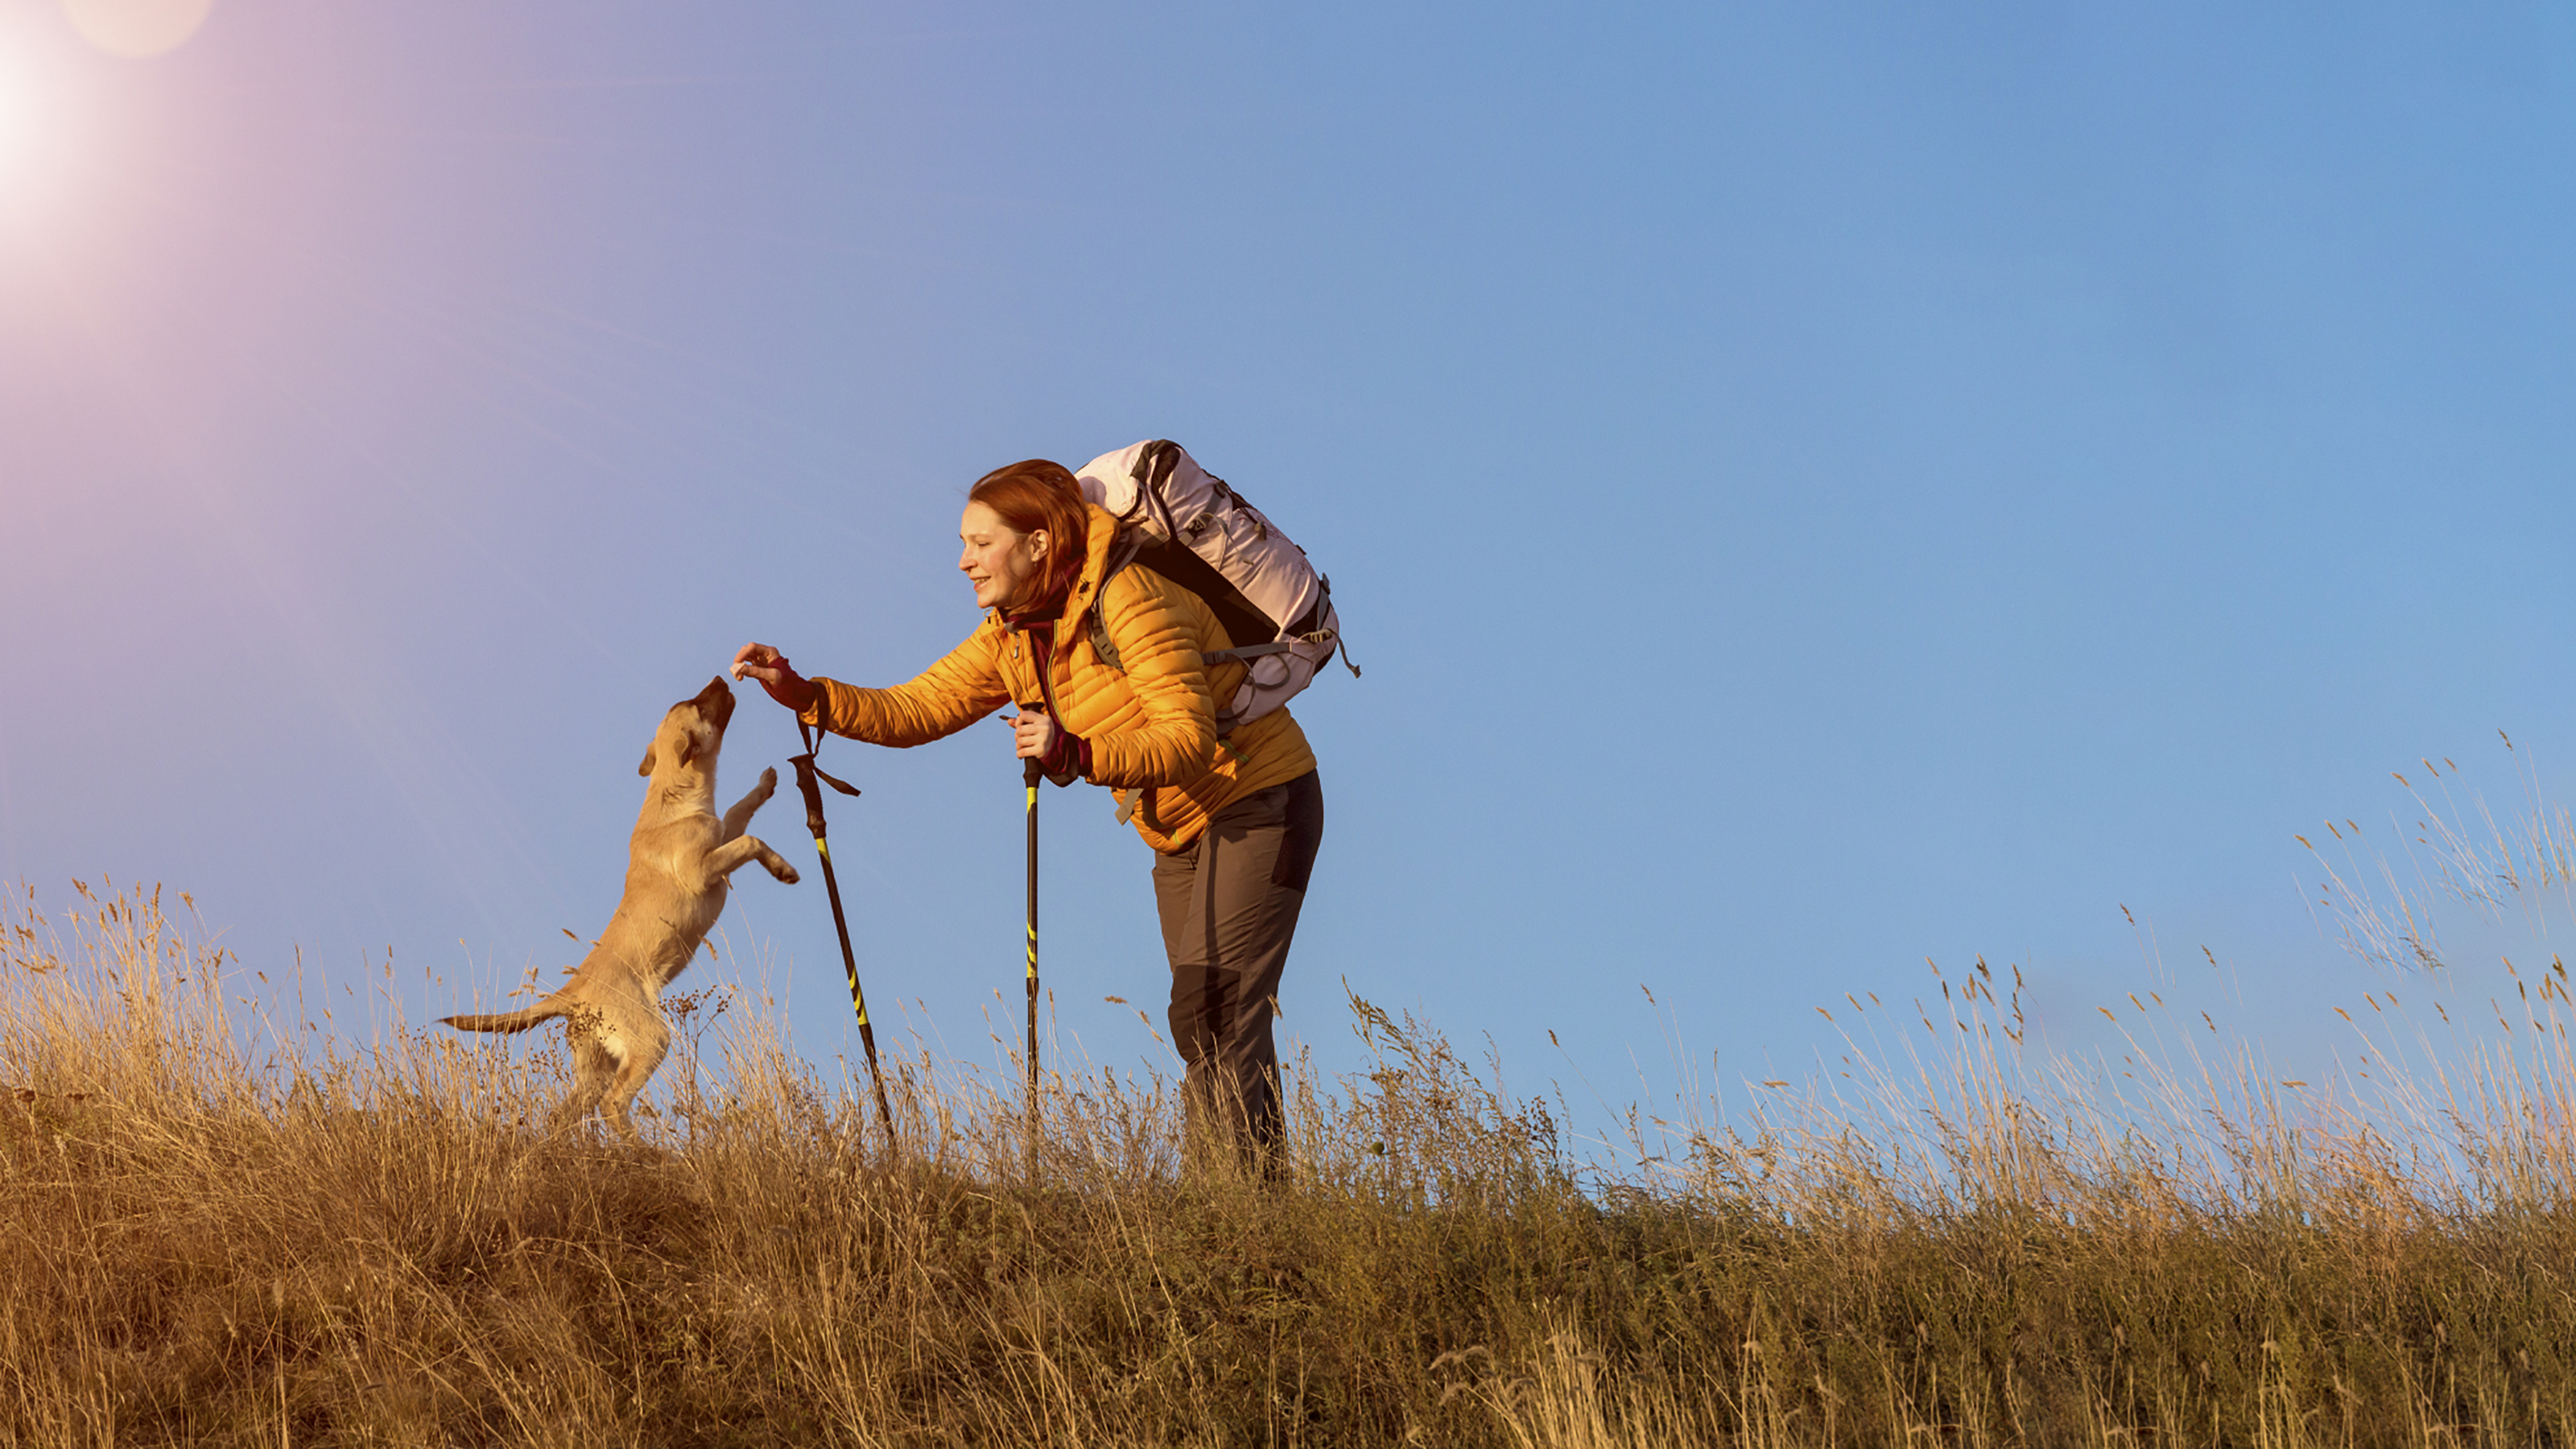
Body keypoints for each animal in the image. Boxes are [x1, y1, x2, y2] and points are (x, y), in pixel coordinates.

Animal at [440, 670, 793, 1134]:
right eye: (699, 705)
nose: (720, 677)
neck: (673, 795)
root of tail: (570, 992)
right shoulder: (702, 871)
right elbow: (752, 839)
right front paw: (783, 868)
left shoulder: (719, 838)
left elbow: (739, 812)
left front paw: (765, 786)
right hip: (651, 1038)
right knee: (614, 1102)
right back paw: (645, 1149)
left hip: (597, 1063)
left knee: (566, 1113)